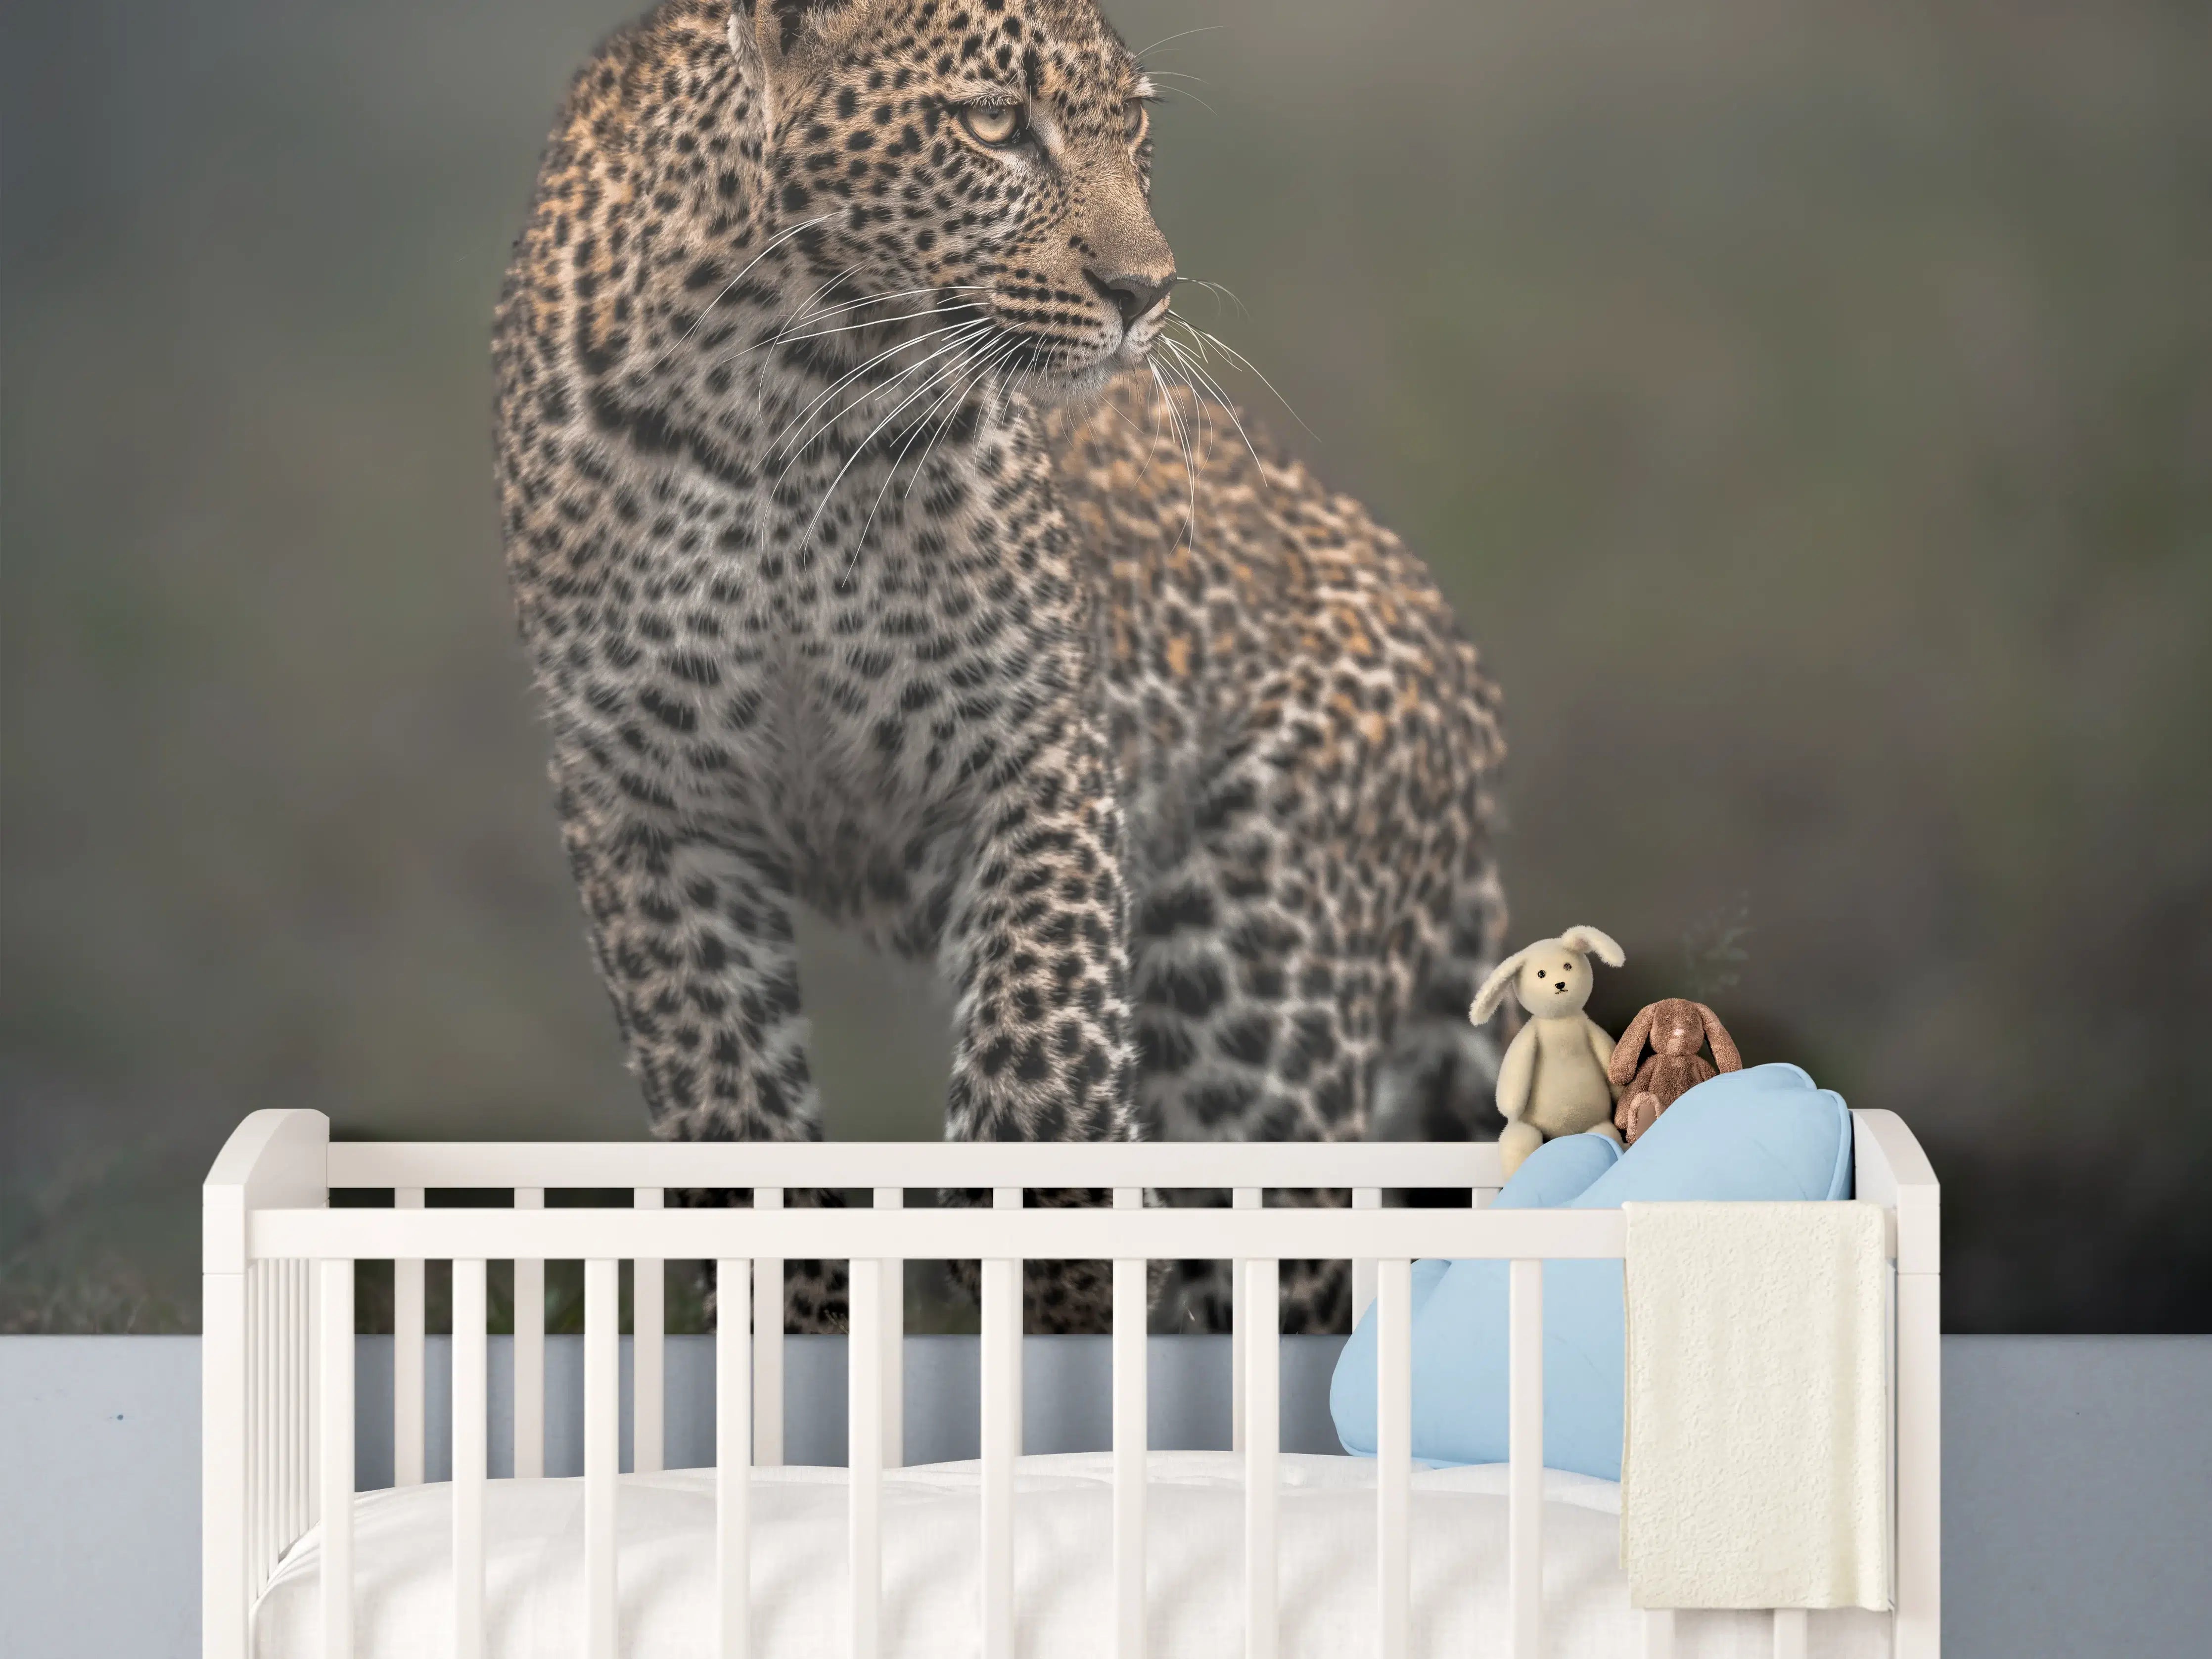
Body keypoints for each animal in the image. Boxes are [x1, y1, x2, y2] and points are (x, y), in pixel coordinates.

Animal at [492, 0, 1510, 1337]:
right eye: (990, 125)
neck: (779, 396)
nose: (1144, 292)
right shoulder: (644, 803)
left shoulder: (1032, 746)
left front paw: (1050, 1279)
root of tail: (1466, 676)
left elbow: (1045, 1056)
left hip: (1258, 993)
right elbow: (732, 1116)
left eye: (1129, 127)